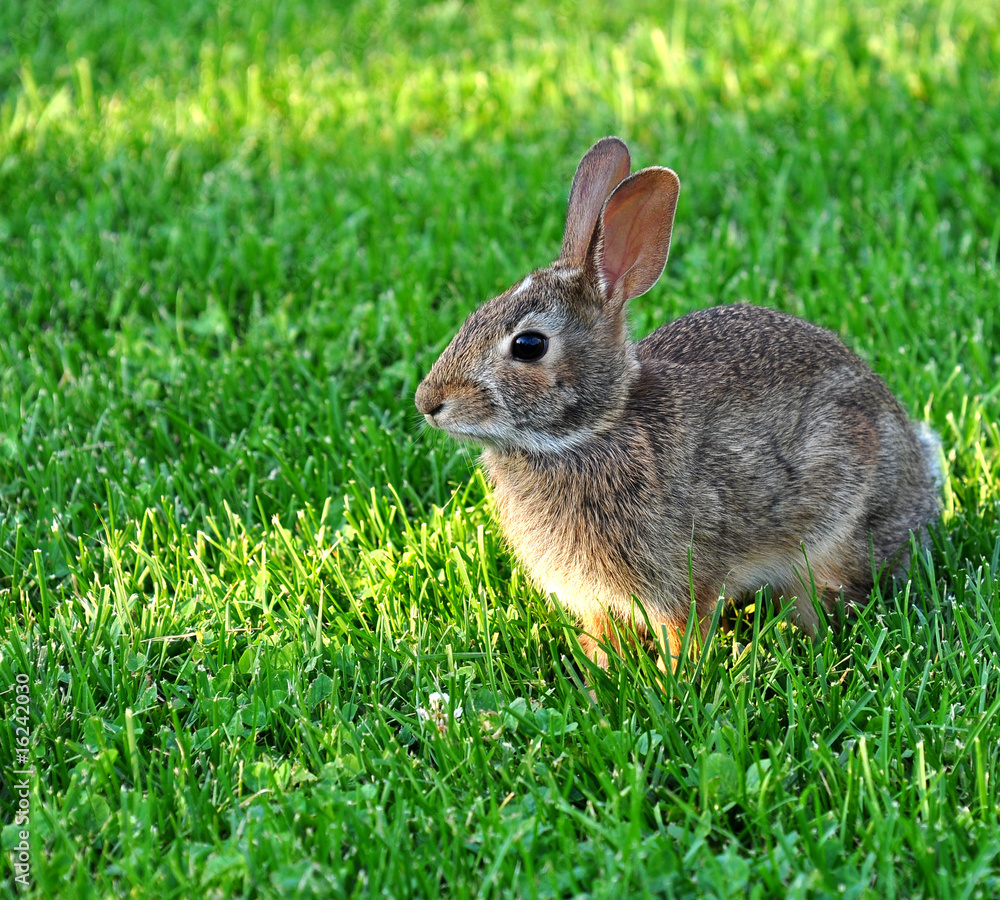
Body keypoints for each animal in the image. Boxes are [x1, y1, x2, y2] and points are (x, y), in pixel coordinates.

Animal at [415, 136, 942, 670]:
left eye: (528, 345)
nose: (428, 402)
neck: (592, 431)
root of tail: (921, 480)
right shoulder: (593, 597)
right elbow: (600, 633)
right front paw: (600, 671)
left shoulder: (679, 579)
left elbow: (681, 632)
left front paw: (676, 679)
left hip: (833, 534)